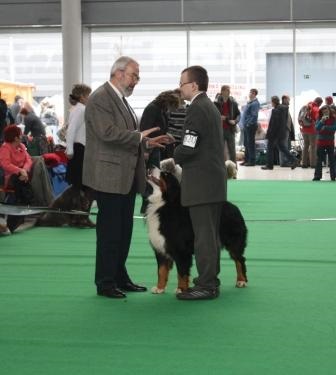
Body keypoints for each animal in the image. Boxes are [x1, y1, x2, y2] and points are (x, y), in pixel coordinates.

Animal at [146, 160, 248, 296]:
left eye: (166, 174)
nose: (150, 165)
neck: (164, 203)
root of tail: (234, 207)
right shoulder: (160, 247)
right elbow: (161, 271)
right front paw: (159, 288)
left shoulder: (181, 250)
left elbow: (182, 272)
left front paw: (181, 289)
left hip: (233, 242)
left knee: (239, 259)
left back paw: (241, 281)